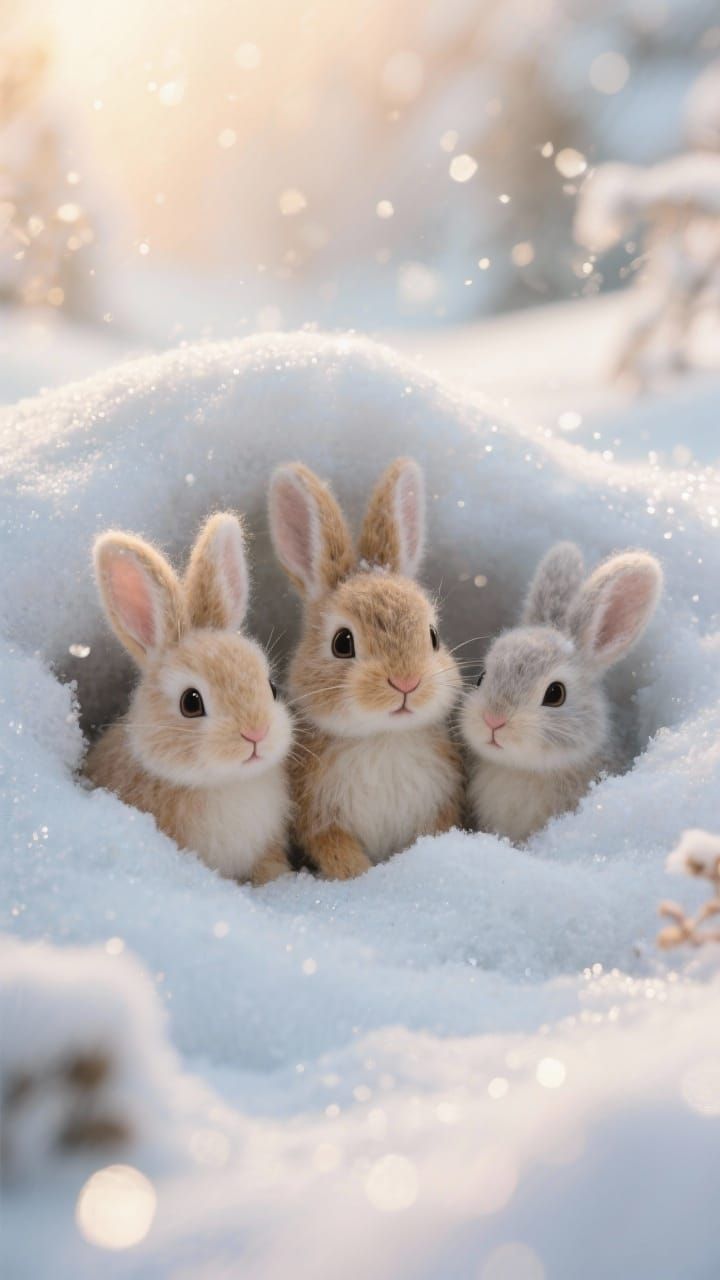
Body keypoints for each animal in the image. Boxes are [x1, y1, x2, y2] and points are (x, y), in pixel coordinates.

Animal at [268, 456, 464, 880]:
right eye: (343, 643)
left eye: (433, 636)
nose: (406, 681)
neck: (381, 737)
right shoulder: (322, 821)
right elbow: (338, 851)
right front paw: (360, 876)